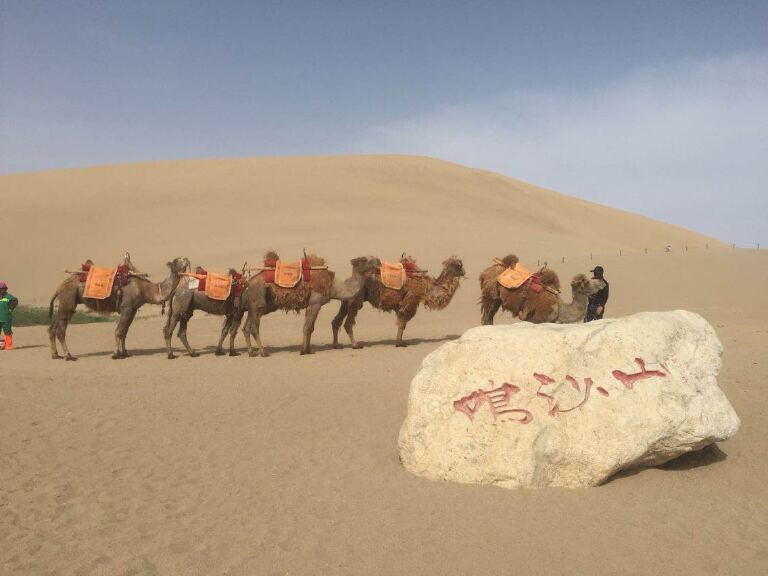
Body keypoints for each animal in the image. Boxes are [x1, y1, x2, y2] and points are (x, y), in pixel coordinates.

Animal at [48, 256, 190, 360]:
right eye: (176, 260)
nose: (186, 259)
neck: (146, 290)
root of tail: (59, 287)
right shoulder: (126, 307)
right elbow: (119, 331)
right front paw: (116, 354)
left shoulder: (133, 310)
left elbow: (125, 332)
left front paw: (125, 353)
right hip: (68, 299)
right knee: (61, 329)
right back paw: (68, 355)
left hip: (64, 303)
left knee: (53, 327)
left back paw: (55, 355)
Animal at [241, 253, 381, 356]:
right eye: (365, 259)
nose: (379, 261)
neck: (333, 287)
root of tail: (248, 282)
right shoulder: (315, 303)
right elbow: (307, 327)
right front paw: (303, 351)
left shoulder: (313, 305)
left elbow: (311, 328)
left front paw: (308, 350)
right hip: (258, 300)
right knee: (254, 328)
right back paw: (263, 352)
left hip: (257, 305)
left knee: (246, 327)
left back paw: (251, 353)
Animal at [331, 255, 466, 349]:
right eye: (459, 265)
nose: (464, 272)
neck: (426, 287)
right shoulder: (410, 302)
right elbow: (402, 323)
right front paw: (399, 343)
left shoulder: (404, 305)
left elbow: (403, 324)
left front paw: (400, 342)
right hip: (356, 301)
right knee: (348, 323)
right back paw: (355, 345)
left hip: (346, 302)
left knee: (336, 321)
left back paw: (336, 345)